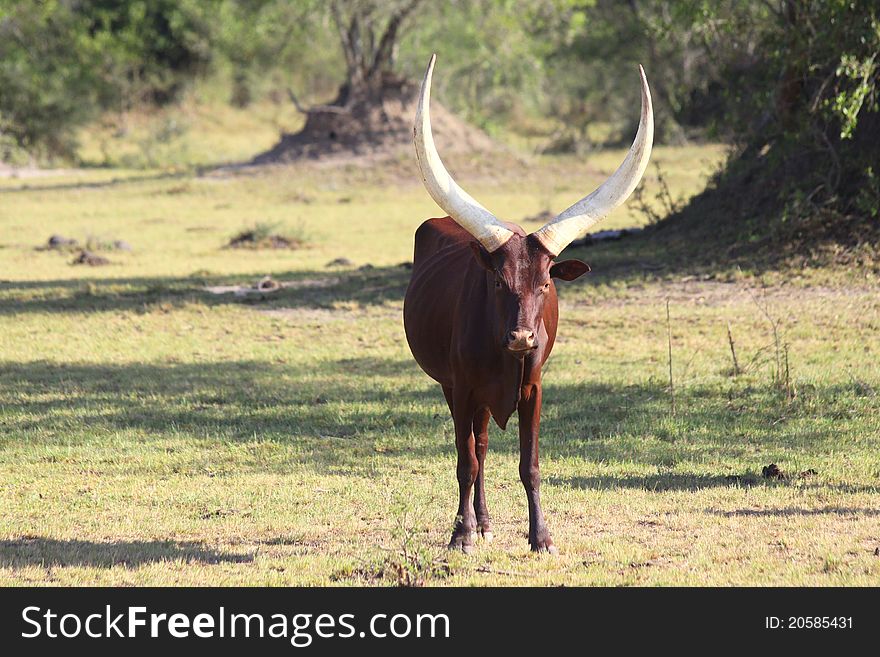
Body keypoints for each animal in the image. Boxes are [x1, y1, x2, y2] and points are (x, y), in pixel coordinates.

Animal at [406, 53, 652, 552]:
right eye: (498, 282)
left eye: (544, 285)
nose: (521, 337)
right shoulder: (462, 387)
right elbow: (465, 462)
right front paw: (460, 535)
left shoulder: (534, 388)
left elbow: (529, 464)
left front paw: (541, 536)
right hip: (453, 387)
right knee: (475, 449)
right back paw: (475, 524)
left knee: (483, 444)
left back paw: (485, 522)